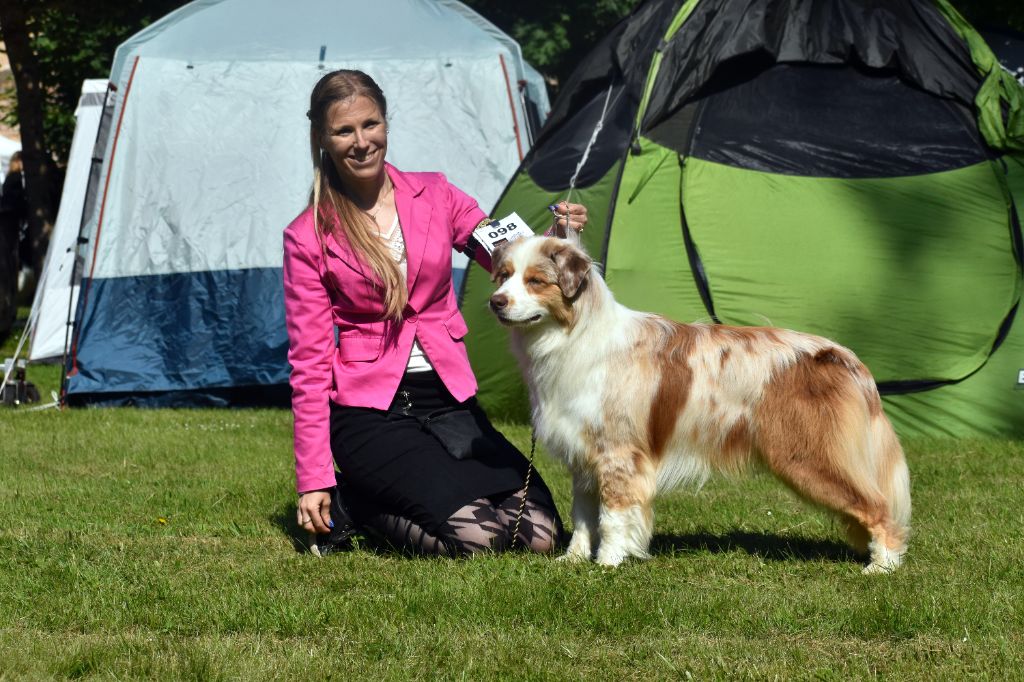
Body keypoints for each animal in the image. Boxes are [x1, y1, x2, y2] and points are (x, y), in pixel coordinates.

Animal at [487, 236, 913, 569]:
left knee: (878, 506)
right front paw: (574, 560)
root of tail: (840, 355)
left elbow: (612, 516)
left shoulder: (618, 454)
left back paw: (882, 566)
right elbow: (583, 517)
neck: (574, 335)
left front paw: (608, 562)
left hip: (808, 456)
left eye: (536, 281)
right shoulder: (583, 459)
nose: (495, 302)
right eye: (503, 275)